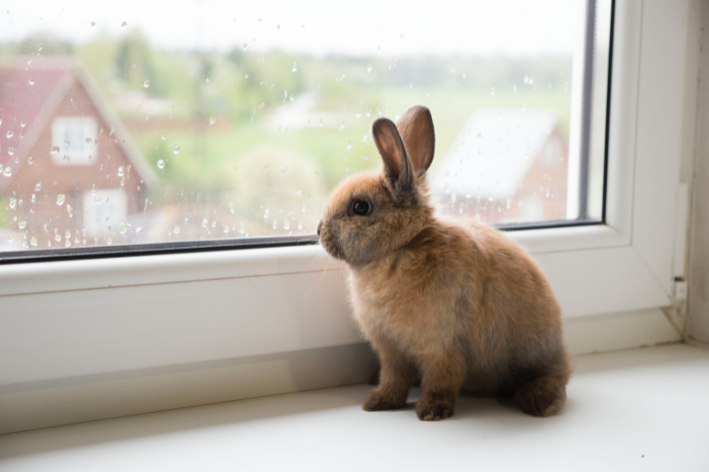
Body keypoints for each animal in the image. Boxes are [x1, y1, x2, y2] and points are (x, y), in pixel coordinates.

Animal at [318, 106, 572, 420]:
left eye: (360, 207)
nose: (319, 231)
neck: (401, 248)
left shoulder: (441, 346)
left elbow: (443, 378)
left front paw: (431, 411)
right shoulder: (391, 351)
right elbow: (393, 378)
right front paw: (378, 402)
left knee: (556, 378)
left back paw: (541, 401)